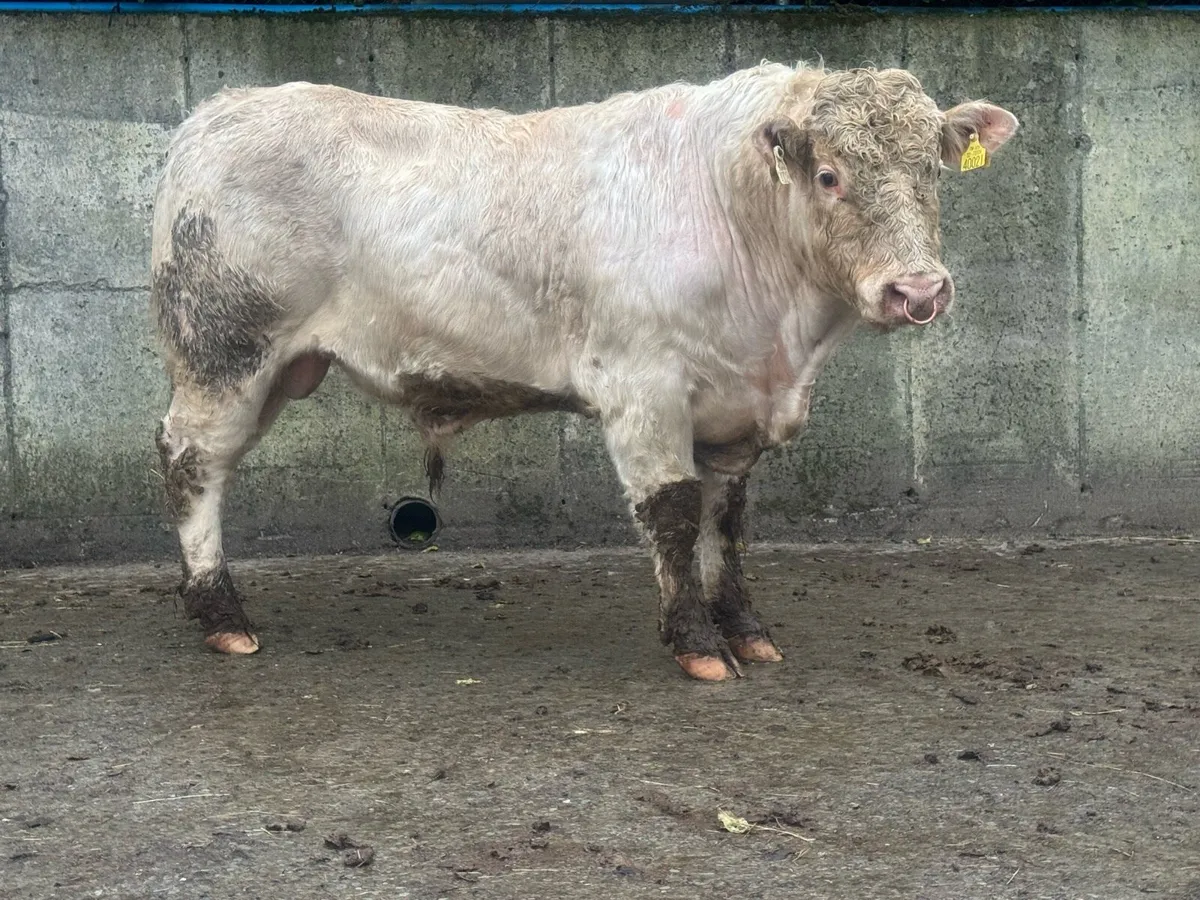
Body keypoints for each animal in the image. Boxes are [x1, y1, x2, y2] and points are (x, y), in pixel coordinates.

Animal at [151, 61, 1017, 681]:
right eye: (830, 175)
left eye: (933, 171)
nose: (918, 290)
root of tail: (218, 109)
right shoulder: (644, 387)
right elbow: (674, 513)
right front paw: (697, 644)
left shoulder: (736, 410)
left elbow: (726, 523)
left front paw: (746, 631)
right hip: (225, 351)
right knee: (194, 460)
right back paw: (222, 618)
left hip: (277, 364)